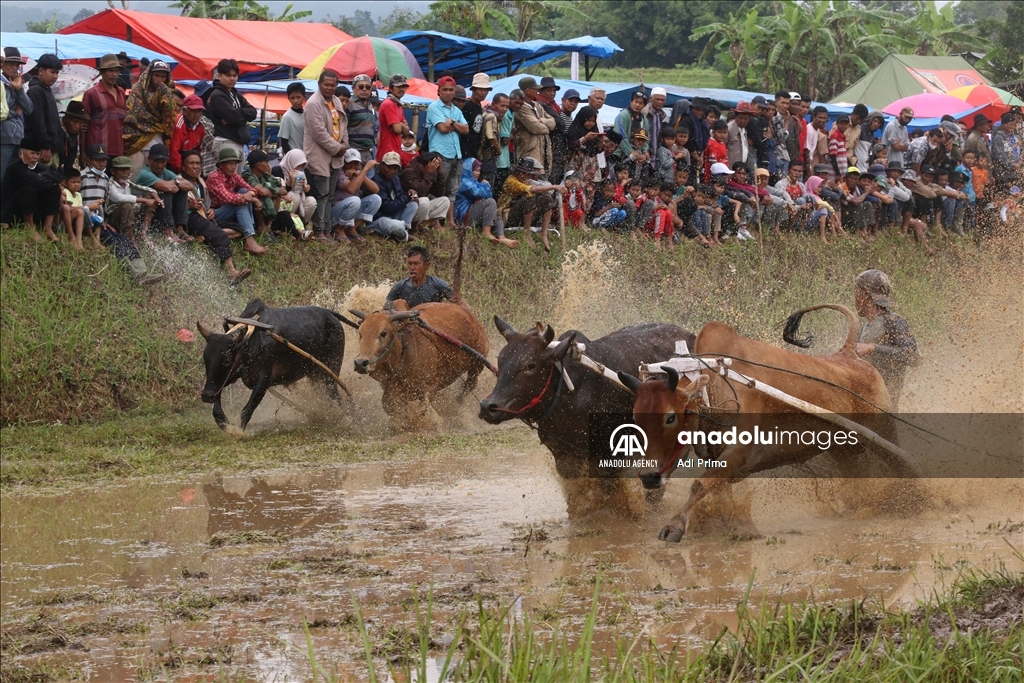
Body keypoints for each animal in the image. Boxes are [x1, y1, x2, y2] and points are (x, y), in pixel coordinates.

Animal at [197, 296, 350, 430]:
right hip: (315, 375)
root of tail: (331, 315)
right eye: (206, 359)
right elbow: (217, 400)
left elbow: (247, 410)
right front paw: (223, 422)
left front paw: (238, 432)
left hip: (330, 373)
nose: (205, 395)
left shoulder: (264, 378)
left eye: (227, 360)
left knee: (337, 396)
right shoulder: (232, 374)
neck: (252, 339)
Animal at [614, 305, 913, 544]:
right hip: (843, 447)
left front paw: (674, 526)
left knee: (901, 462)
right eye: (636, 417)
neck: (717, 386)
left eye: (671, 417)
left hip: (883, 429)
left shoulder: (738, 452)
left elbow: (700, 484)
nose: (648, 476)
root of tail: (849, 355)